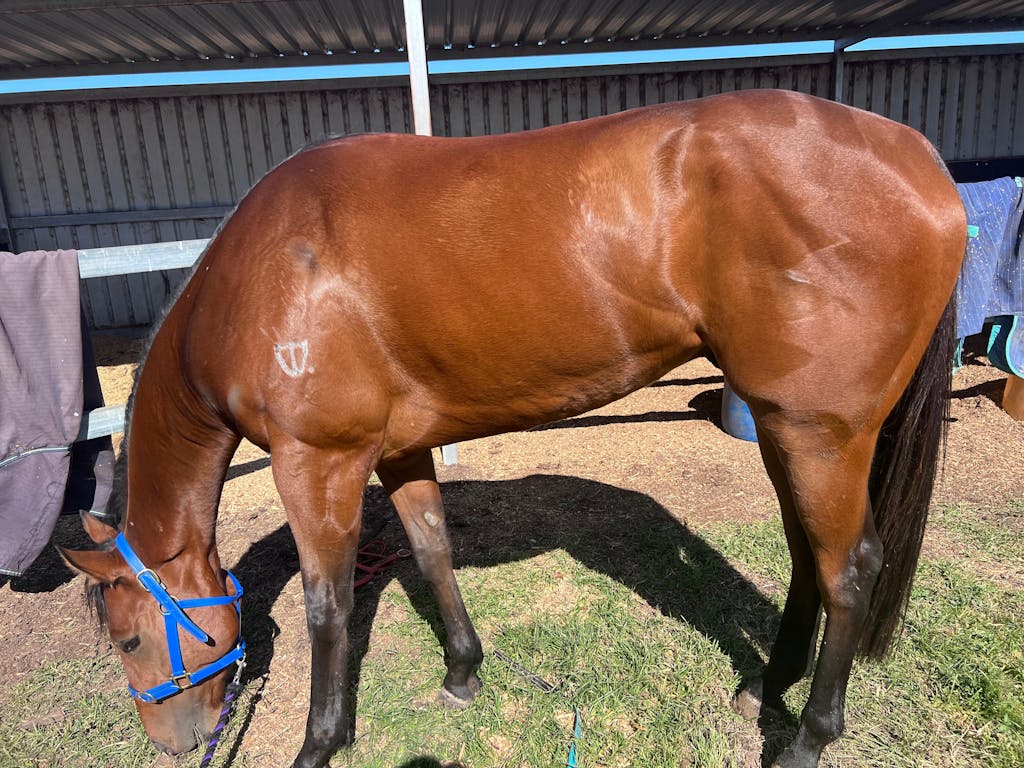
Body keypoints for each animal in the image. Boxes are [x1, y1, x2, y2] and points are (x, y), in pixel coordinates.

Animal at [59, 89, 965, 768]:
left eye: (130, 641)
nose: (173, 744)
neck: (263, 277)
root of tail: (924, 162)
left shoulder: (317, 460)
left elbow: (328, 606)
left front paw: (320, 743)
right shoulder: (399, 449)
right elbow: (431, 549)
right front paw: (463, 670)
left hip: (821, 432)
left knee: (850, 569)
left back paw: (808, 739)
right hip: (787, 427)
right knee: (810, 558)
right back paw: (765, 688)